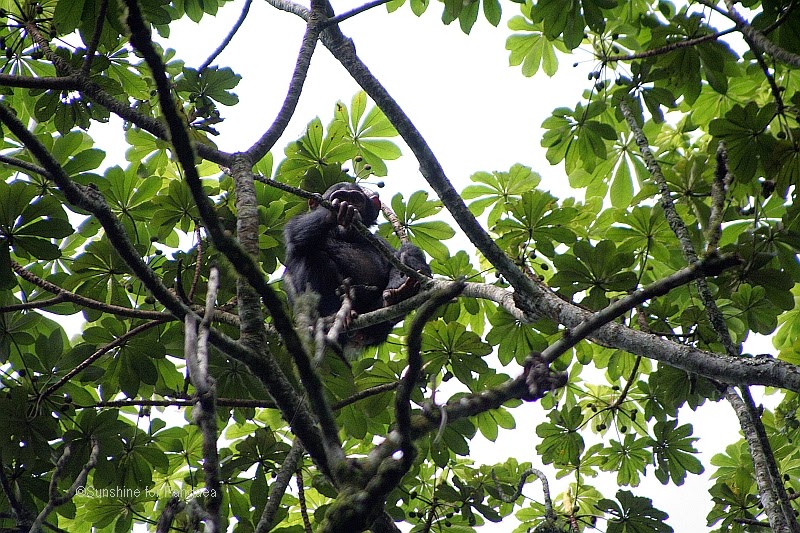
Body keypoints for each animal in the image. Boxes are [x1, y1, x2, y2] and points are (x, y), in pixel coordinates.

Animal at [283, 182, 431, 352]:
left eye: (356, 200)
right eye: (340, 197)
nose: (351, 206)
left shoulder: (381, 242)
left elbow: (395, 259)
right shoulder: (297, 222)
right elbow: (295, 232)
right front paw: (336, 212)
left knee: (407, 251)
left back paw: (398, 295)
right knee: (311, 255)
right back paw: (332, 317)